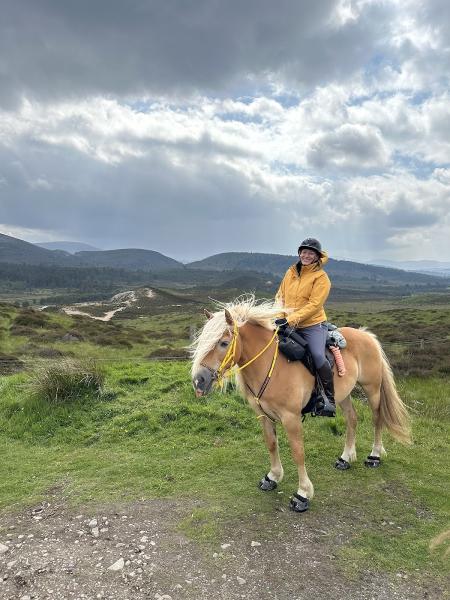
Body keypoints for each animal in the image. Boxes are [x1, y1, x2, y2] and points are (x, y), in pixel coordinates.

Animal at [190, 296, 412, 510]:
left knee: (377, 418)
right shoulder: (263, 415)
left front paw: (303, 493)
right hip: (343, 394)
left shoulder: (291, 417)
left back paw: (374, 456)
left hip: (372, 388)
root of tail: (367, 336)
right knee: (352, 418)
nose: (199, 380)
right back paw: (345, 457)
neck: (271, 365)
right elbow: (271, 444)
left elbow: (298, 453)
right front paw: (273, 477)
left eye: (224, 343)